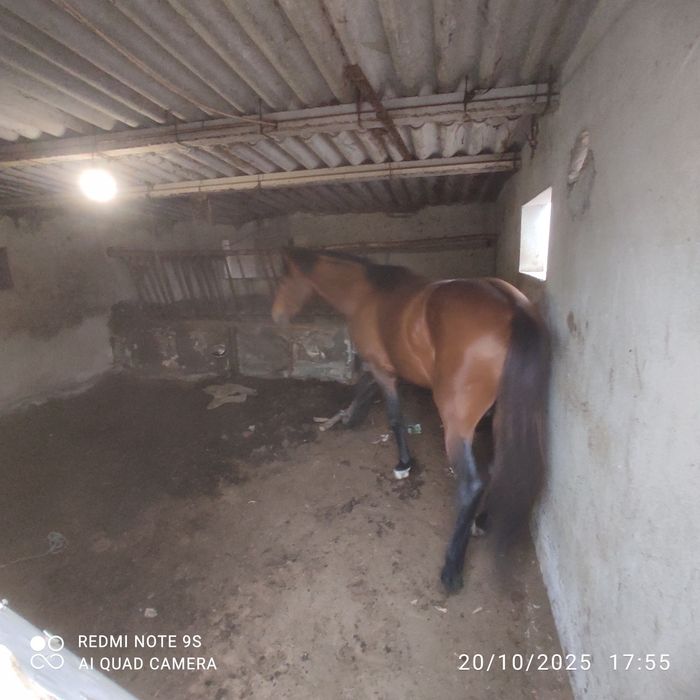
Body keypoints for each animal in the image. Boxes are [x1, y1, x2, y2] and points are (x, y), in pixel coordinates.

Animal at [271, 248, 549, 593]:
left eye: (283, 277)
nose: (276, 316)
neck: (366, 293)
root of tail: (513, 308)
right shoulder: (380, 368)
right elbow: (365, 388)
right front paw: (350, 416)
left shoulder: (383, 371)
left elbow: (394, 417)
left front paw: (403, 463)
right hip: (502, 414)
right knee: (499, 466)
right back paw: (483, 520)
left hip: (457, 422)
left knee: (472, 484)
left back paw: (452, 568)